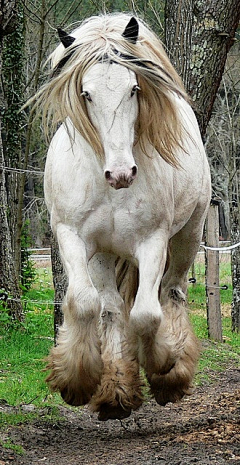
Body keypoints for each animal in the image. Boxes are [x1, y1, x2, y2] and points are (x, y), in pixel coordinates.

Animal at [37, 14, 210, 420]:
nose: (120, 174)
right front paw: (76, 381)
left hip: (188, 237)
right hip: (102, 253)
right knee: (112, 309)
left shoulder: (152, 241)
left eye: (133, 88)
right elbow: (84, 303)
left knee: (172, 292)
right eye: (86, 93)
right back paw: (115, 393)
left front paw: (162, 365)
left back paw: (171, 373)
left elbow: (146, 314)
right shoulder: (71, 236)